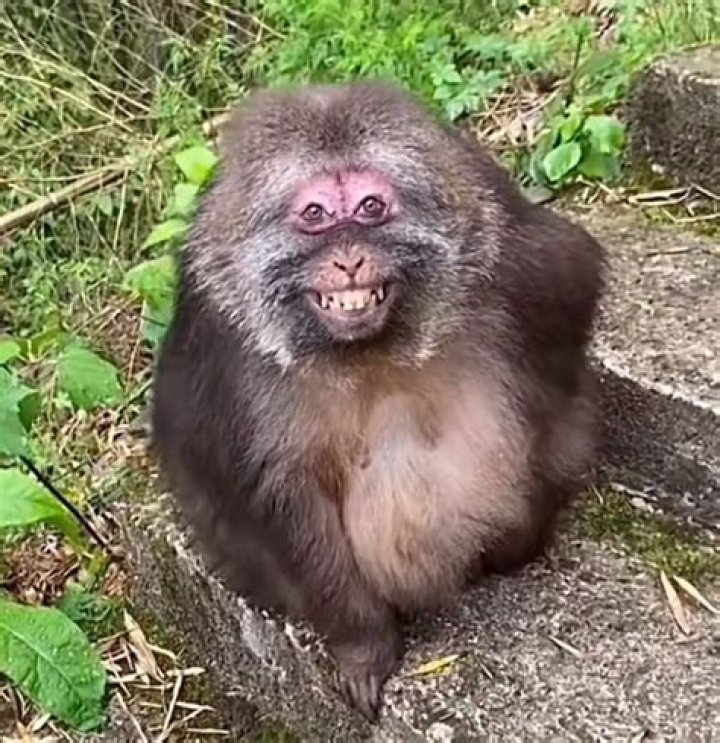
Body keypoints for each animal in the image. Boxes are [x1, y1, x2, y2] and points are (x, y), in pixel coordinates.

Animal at [149, 79, 606, 722]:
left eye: (370, 207)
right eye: (316, 215)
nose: (348, 259)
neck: (366, 352)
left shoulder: (511, 248)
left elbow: (568, 303)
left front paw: (526, 519)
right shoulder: (220, 339)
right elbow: (268, 494)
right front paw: (364, 643)